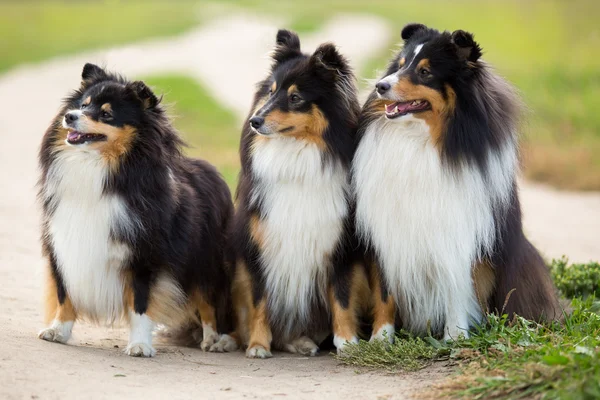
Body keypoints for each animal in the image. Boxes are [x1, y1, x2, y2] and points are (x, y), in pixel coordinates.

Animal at [37, 63, 237, 356]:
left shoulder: (144, 254)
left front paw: (140, 345)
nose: (69, 116)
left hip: (206, 261)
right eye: (83, 105)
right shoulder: (63, 243)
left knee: (208, 301)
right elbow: (65, 293)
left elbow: (140, 303)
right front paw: (57, 331)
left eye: (106, 114)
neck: (100, 167)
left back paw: (214, 340)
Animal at [232, 29, 368, 358]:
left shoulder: (341, 244)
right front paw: (258, 345)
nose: (255, 121)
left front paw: (347, 342)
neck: (296, 156)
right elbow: (259, 300)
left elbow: (342, 297)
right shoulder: (257, 245)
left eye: (295, 98)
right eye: (270, 92)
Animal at [352, 24, 564, 340]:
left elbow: (460, 283)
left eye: (425, 72)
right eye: (400, 65)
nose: (380, 86)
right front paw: (380, 338)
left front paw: (455, 336)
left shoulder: (463, 230)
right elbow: (384, 291)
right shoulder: (386, 232)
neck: (422, 140)